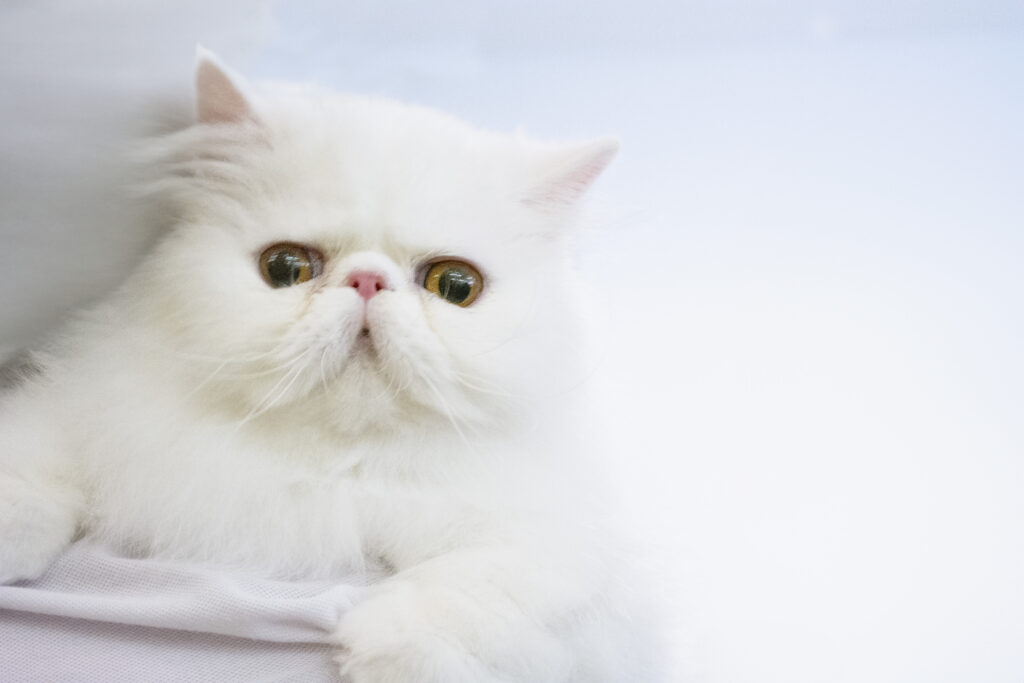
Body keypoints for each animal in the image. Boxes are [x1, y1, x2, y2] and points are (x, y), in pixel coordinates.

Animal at [0, 50, 655, 679]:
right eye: (286, 268)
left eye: (455, 285)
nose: (367, 281)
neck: (335, 471)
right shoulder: (78, 410)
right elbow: (31, 474)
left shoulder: (569, 543)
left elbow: (486, 584)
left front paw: (380, 650)